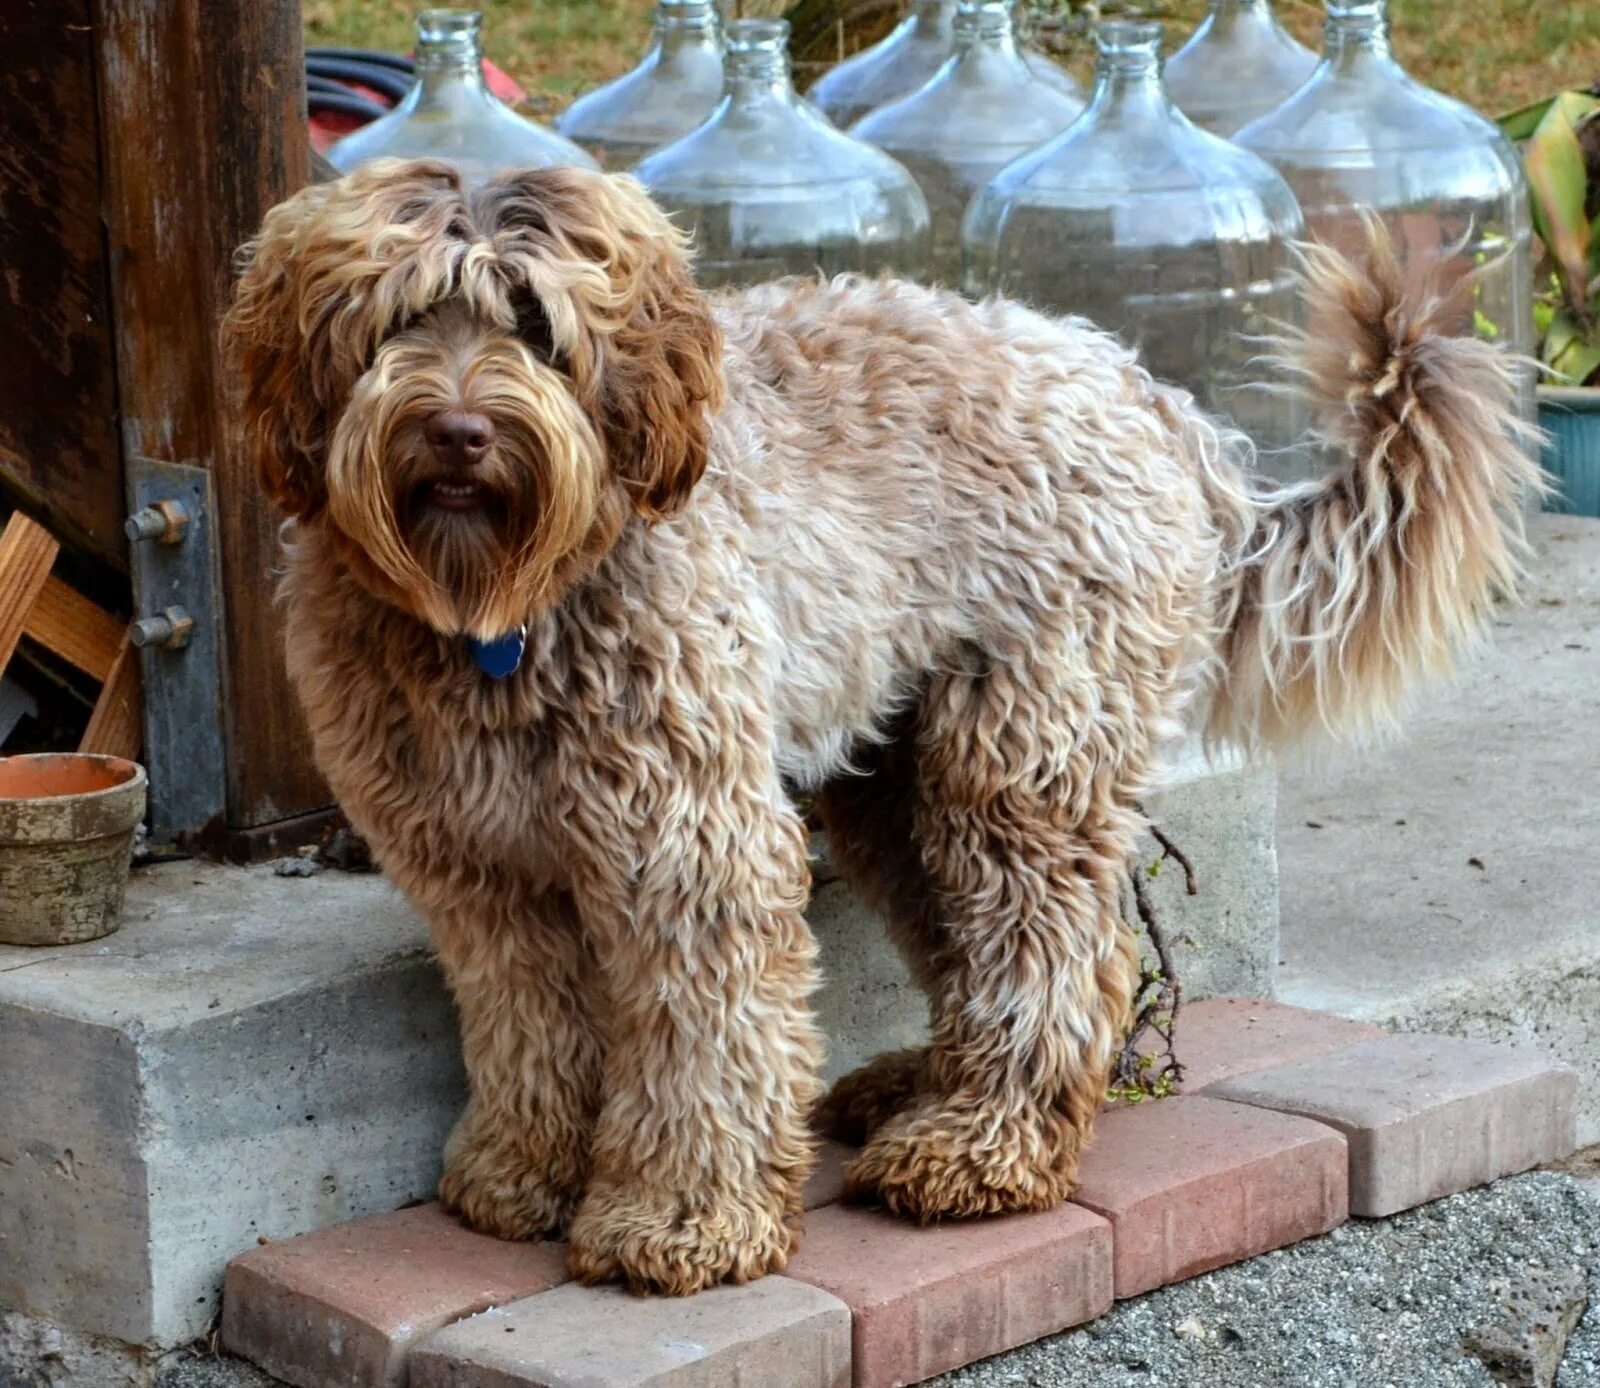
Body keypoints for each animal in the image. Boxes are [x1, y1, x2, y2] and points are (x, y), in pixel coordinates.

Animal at [225, 157, 1536, 1298]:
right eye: (396, 323)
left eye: (537, 328)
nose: (459, 431)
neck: (497, 607)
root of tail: (1150, 394)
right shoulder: (476, 868)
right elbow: (524, 1017)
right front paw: (522, 1167)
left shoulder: (688, 841)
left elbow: (705, 1037)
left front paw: (683, 1219)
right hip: (891, 779)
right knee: (971, 940)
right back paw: (918, 1088)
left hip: (1019, 745)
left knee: (1065, 948)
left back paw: (977, 1145)